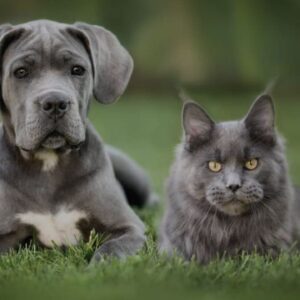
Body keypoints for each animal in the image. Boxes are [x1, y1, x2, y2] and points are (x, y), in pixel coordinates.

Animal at [0, 19, 155, 262]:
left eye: (77, 70)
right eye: (21, 72)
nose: (55, 102)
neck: (49, 164)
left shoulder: (129, 227)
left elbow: (111, 250)